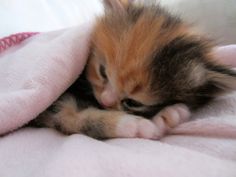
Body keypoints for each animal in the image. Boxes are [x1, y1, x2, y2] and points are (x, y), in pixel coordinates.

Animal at [30, 0, 236, 139]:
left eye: (133, 102)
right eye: (102, 72)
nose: (105, 100)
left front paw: (165, 116)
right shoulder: (51, 109)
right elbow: (73, 117)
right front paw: (136, 125)